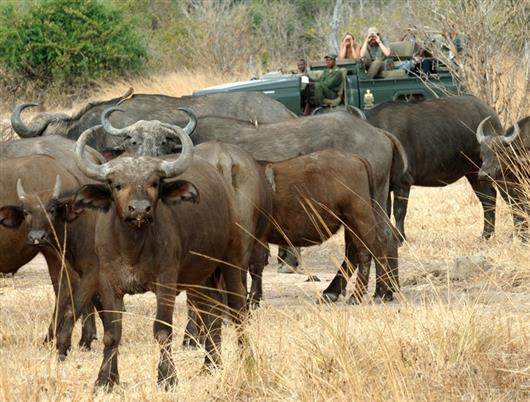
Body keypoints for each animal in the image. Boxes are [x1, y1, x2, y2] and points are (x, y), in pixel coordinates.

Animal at [67, 125, 245, 390]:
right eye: (117, 185)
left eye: (153, 183)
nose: (140, 209)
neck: (132, 247)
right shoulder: (109, 282)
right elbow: (112, 333)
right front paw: (105, 379)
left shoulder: (166, 281)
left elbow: (162, 330)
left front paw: (167, 378)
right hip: (200, 278)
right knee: (211, 314)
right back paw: (210, 366)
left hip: (231, 260)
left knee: (238, 311)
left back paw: (247, 358)